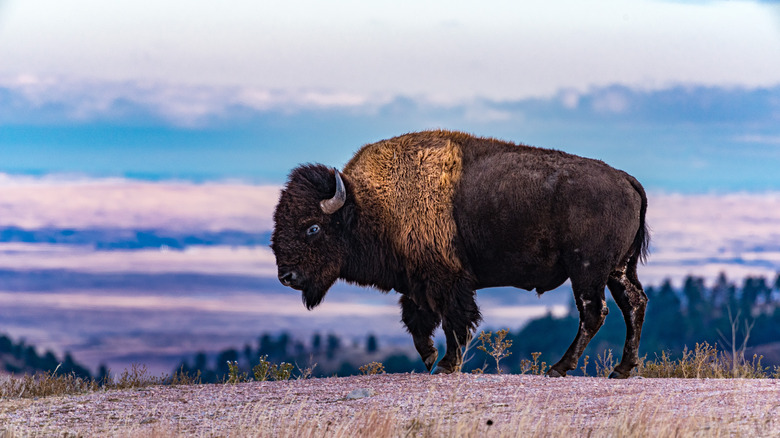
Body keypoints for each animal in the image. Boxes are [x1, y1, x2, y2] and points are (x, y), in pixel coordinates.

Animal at [272, 129, 648, 376]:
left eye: (313, 227)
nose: (286, 276)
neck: (369, 204)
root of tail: (626, 180)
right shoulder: (416, 282)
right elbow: (417, 321)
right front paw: (429, 358)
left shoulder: (446, 281)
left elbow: (453, 321)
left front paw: (445, 365)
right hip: (618, 270)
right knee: (634, 303)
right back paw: (622, 369)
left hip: (587, 271)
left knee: (594, 312)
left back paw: (559, 368)